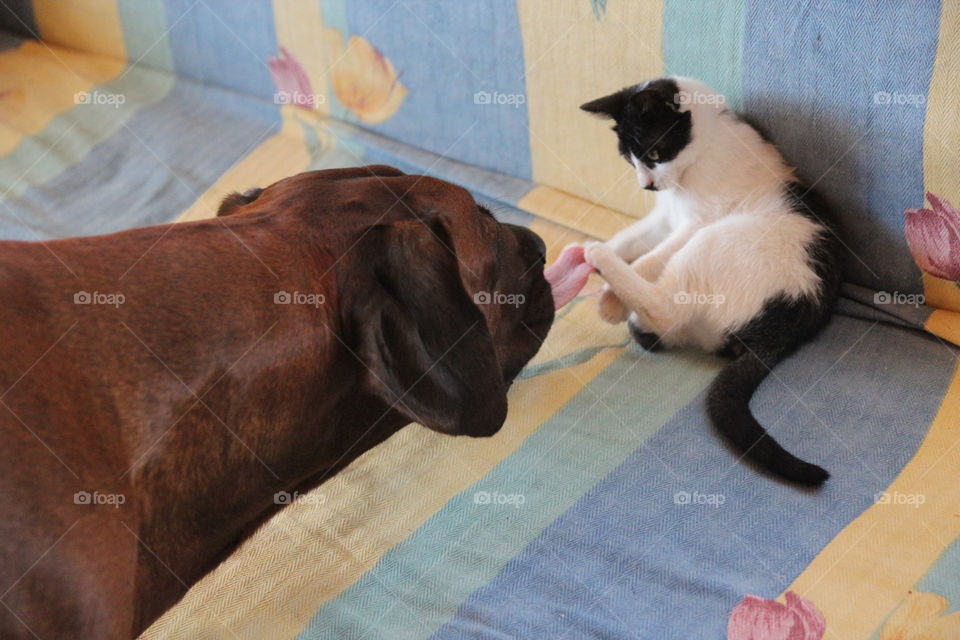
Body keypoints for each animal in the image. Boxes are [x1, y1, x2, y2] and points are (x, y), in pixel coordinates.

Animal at [576, 76, 840, 484]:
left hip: (715, 240)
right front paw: (601, 271)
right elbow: (629, 239)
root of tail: (789, 325)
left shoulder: (695, 223)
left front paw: (609, 299)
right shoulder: (664, 217)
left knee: (665, 306)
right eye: (628, 158)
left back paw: (600, 260)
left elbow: (650, 261)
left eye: (654, 153)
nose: (646, 185)